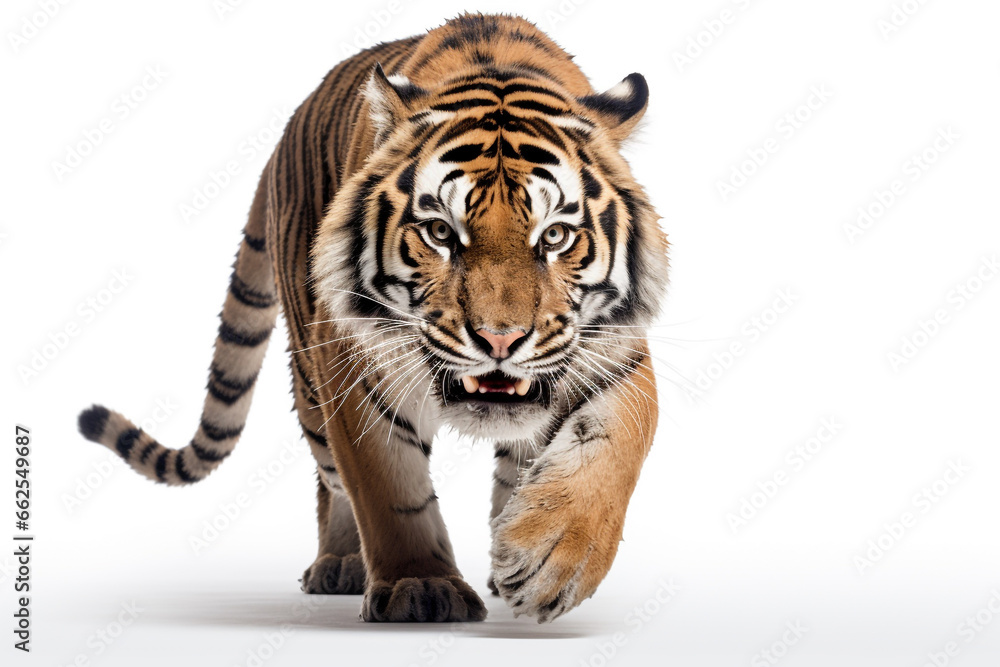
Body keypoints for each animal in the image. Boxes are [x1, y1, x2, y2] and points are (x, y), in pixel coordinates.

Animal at [77, 13, 669, 623]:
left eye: (554, 237)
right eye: (440, 232)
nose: (499, 339)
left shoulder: (615, 349)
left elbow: (616, 447)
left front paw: (548, 559)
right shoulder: (350, 359)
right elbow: (389, 488)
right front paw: (421, 585)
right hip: (310, 378)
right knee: (330, 477)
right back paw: (340, 564)